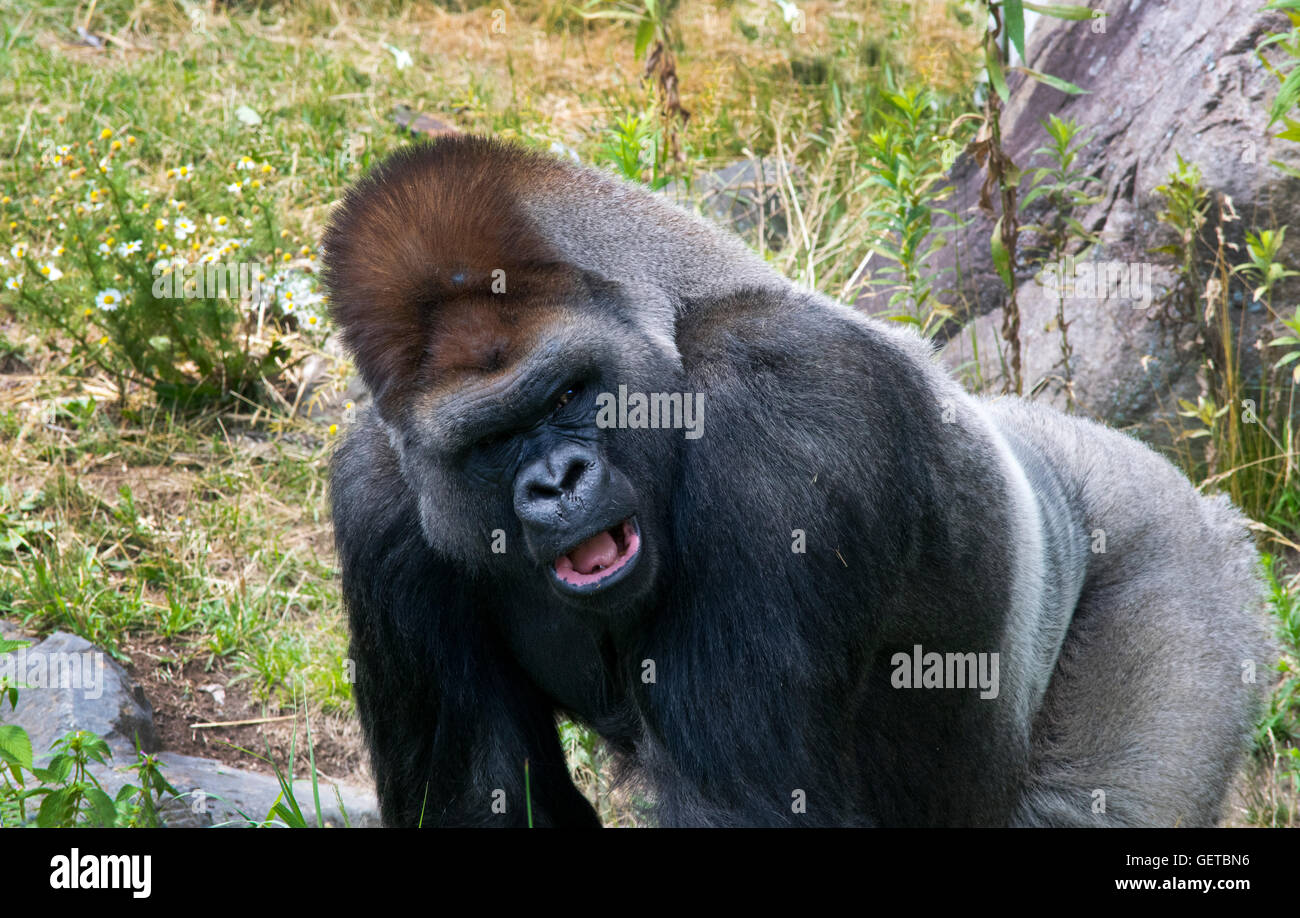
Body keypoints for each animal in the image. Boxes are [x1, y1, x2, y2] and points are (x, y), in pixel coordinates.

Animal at [319, 135, 1274, 832]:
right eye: (492, 439)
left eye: (567, 394)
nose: (555, 484)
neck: (675, 318)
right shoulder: (381, 500)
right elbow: (479, 798)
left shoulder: (780, 403)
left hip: (1183, 566)